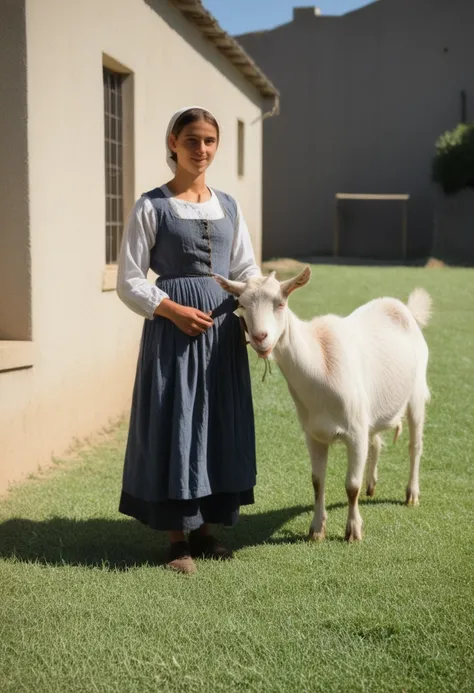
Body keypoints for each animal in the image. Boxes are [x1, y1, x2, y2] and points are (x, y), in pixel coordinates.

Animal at [217, 266, 432, 540]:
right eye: (241, 305)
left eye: (280, 303)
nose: (260, 337)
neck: (320, 363)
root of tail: (403, 308)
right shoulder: (314, 434)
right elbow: (317, 482)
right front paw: (316, 530)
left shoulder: (355, 432)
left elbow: (351, 486)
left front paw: (353, 532)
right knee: (376, 441)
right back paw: (372, 485)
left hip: (416, 391)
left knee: (415, 445)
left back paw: (411, 495)